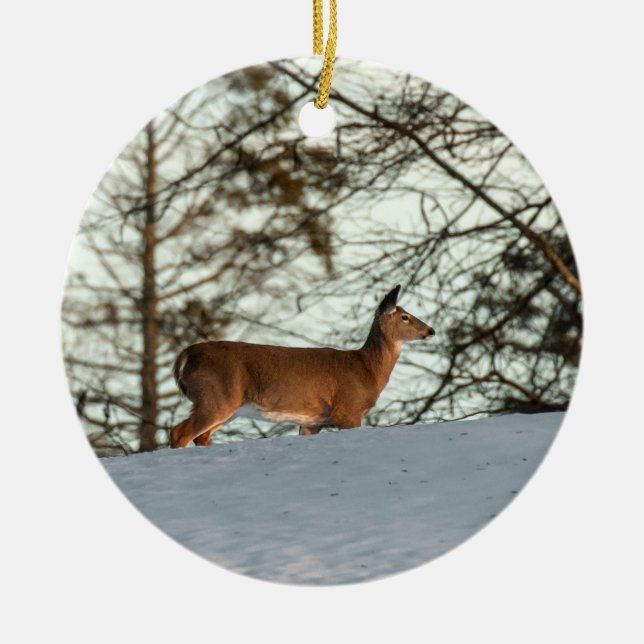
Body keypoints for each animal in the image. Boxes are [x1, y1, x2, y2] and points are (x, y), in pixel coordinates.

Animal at [169, 285, 435, 448]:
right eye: (405, 317)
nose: (431, 330)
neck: (366, 369)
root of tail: (184, 355)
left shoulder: (312, 422)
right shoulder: (347, 410)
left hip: (225, 405)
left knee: (200, 436)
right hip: (216, 396)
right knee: (179, 432)